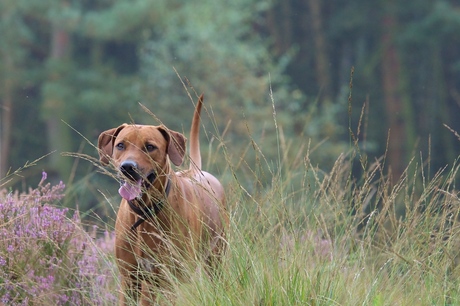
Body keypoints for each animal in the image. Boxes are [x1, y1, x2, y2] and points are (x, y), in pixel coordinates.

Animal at [98, 95, 227, 304]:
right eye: (120, 145)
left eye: (150, 147)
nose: (128, 167)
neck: (145, 214)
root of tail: (196, 171)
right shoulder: (129, 279)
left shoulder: (167, 278)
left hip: (216, 257)